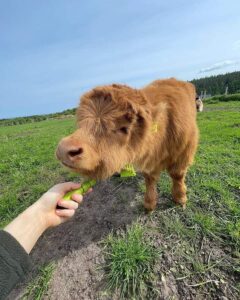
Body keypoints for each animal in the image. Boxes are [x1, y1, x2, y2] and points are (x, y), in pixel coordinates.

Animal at [56, 78, 199, 212]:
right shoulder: (149, 162)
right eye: (81, 122)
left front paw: (180, 198)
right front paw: (149, 204)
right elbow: (150, 179)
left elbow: (177, 175)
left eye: (124, 128)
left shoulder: (185, 152)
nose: (64, 149)